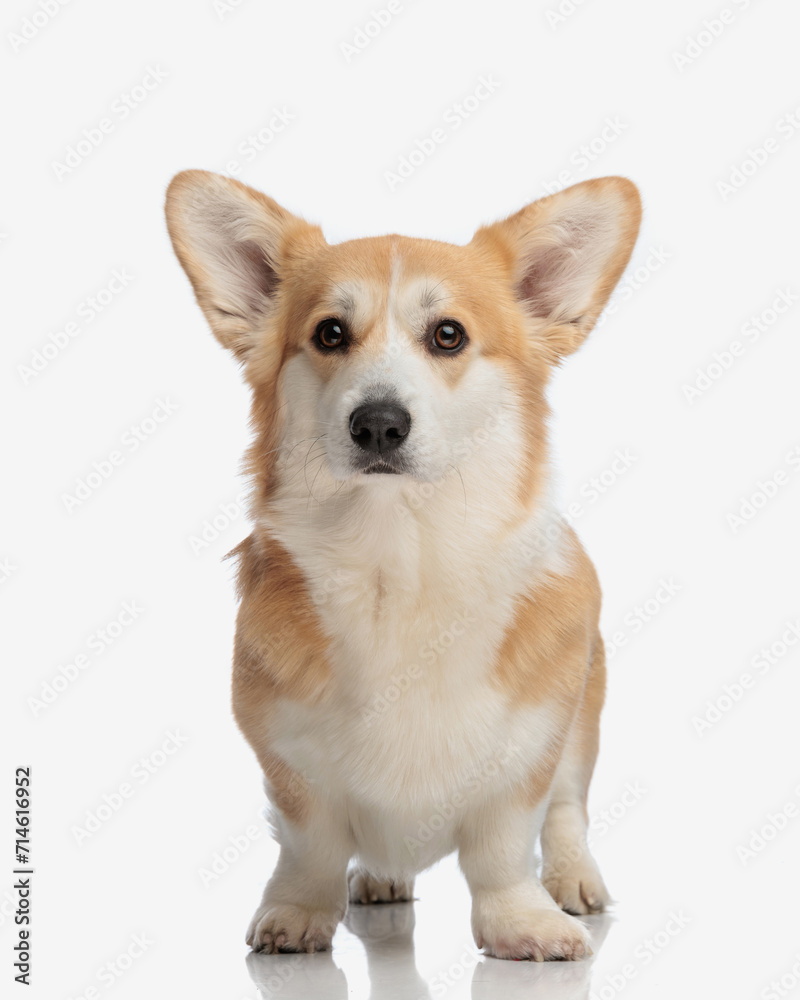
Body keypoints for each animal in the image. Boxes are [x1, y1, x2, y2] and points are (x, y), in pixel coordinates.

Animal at [166, 172, 640, 960]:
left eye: (448, 335)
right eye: (330, 333)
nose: (380, 424)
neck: (400, 560)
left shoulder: (529, 752)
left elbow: (505, 844)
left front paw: (522, 922)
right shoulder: (289, 761)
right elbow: (312, 846)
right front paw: (297, 912)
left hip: (584, 718)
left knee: (569, 808)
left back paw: (574, 882)